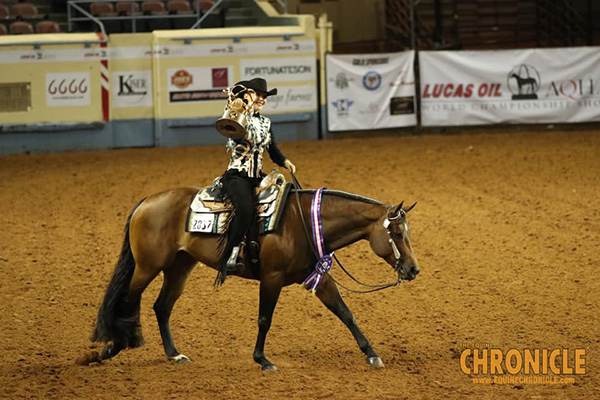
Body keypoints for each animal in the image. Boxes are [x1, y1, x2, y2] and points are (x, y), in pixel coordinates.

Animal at [91, 186, 420, 370]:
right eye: (397, 233)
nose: (413, 269)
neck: (301, 222)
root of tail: (147, 201)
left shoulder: (318, 277)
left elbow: (345, 313)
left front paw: (372, 354)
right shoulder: (271, 278)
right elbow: (264, 319)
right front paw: (262, 359)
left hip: (179, 267)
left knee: (162, 307)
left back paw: (174, 355)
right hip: (147, 267)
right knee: (128, 299)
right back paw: (113, 347)